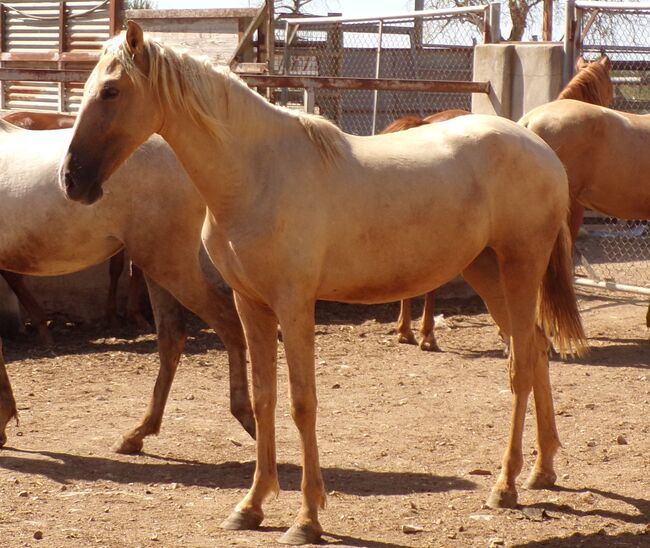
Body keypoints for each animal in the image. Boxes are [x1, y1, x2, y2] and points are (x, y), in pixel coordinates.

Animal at [0, 109, 148, 338]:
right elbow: (131, 268)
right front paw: (131, 316)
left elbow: (119, 268)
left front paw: (116, 315)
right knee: (13, 276)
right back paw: (41, 323)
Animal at [62, 21, 588, 544]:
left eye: (111, 90)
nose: (71, 180)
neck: (257, 174)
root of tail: (539, 147)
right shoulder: (251, 304)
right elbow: (264, 399)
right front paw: (251, 506)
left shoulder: (294, 305)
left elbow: (301, 403)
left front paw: (307, 518)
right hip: (486, 271)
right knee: (536, 349)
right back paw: (542, 471)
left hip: (520, 267)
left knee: (520, 365)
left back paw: (505, 486)